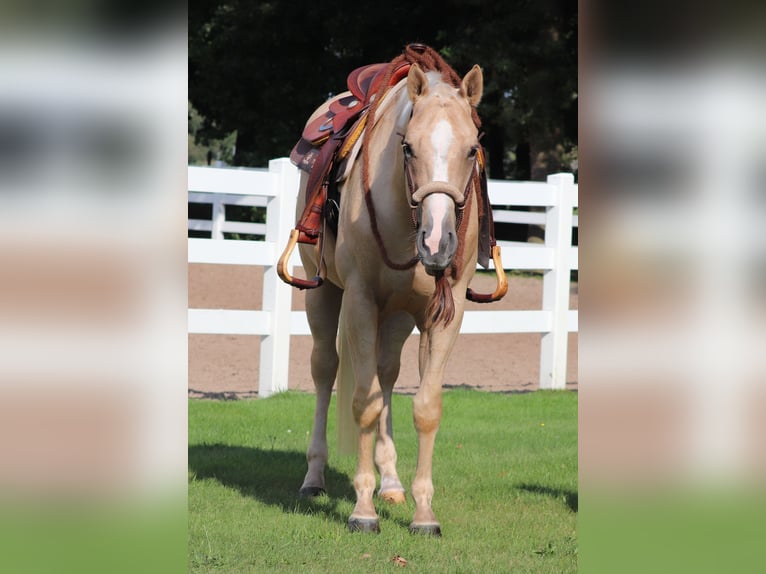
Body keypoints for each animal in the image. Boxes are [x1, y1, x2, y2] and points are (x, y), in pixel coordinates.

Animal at [284, 45, 508, 536]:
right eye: (407, 146)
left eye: (473, 148)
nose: (437, 243)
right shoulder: (360, 302)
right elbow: (363, 405)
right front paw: (363, 511)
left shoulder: (445, 314)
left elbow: (425, 407)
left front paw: (424, 514)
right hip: (322, 295)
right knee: (325, 372)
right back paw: (314, 478)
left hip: (398, 316)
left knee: (386, 375)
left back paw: (390, 482)